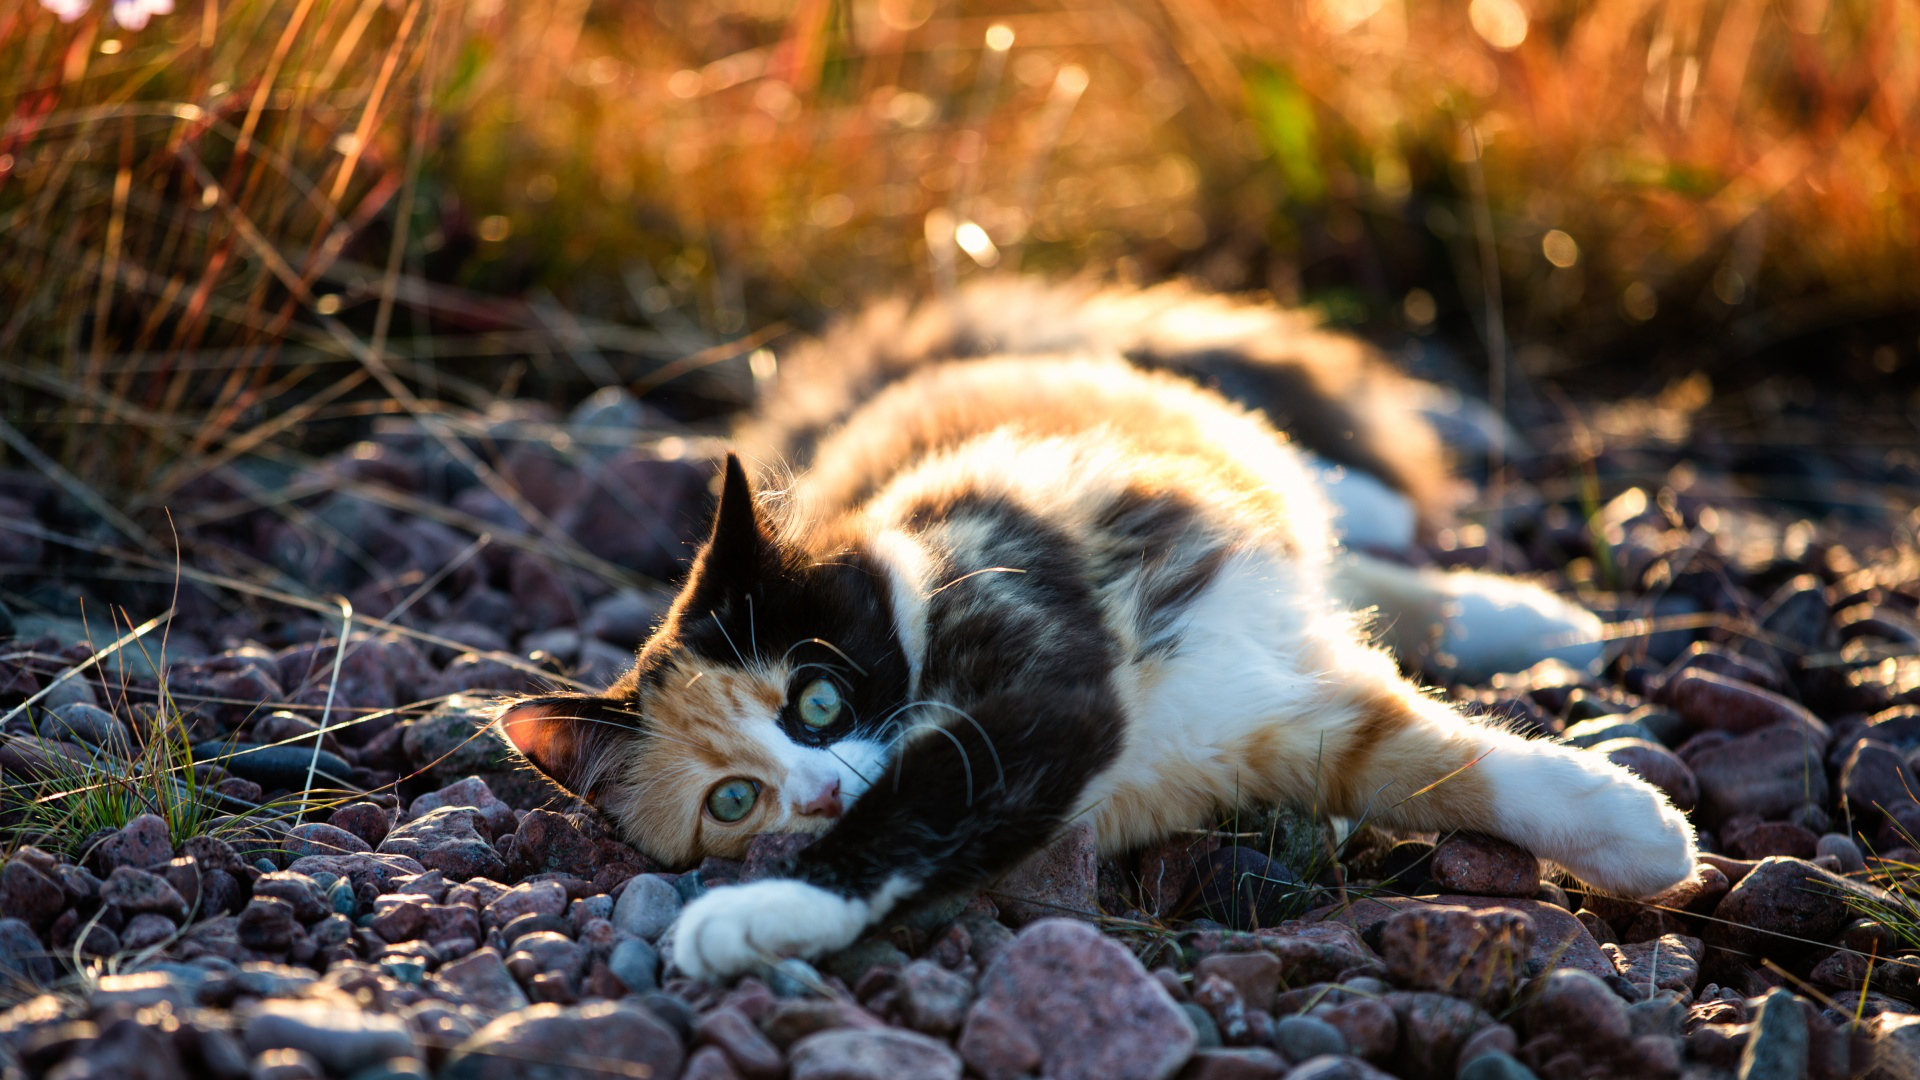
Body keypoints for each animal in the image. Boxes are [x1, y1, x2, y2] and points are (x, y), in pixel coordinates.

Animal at [495, 274, 1697, 976]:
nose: (822, 792)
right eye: (733, 801)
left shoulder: (1036, 669)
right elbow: (1433, 757)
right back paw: (1535, 619)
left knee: (1319, 495)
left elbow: (921, 802)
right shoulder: (1268, 733)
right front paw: (1632, 831)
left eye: (818, 695)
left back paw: (1459, 556)